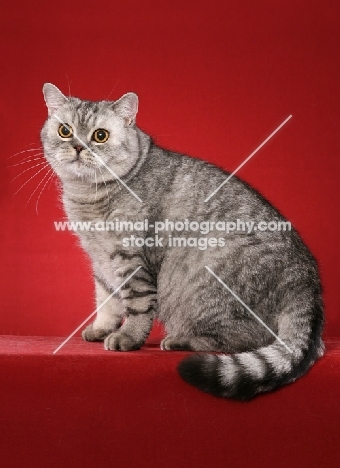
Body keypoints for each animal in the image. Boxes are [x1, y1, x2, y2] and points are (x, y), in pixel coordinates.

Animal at [40, 83, 324, 398]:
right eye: (65, 131)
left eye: (100, 135)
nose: (77, 146)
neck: (88, 195)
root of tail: (306, 283)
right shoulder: (101, 261)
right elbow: (106, 300)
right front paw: (101, 328)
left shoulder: (132, 259)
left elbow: (137, 306)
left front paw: (127, 337)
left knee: (250, 338)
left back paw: (181, 340)